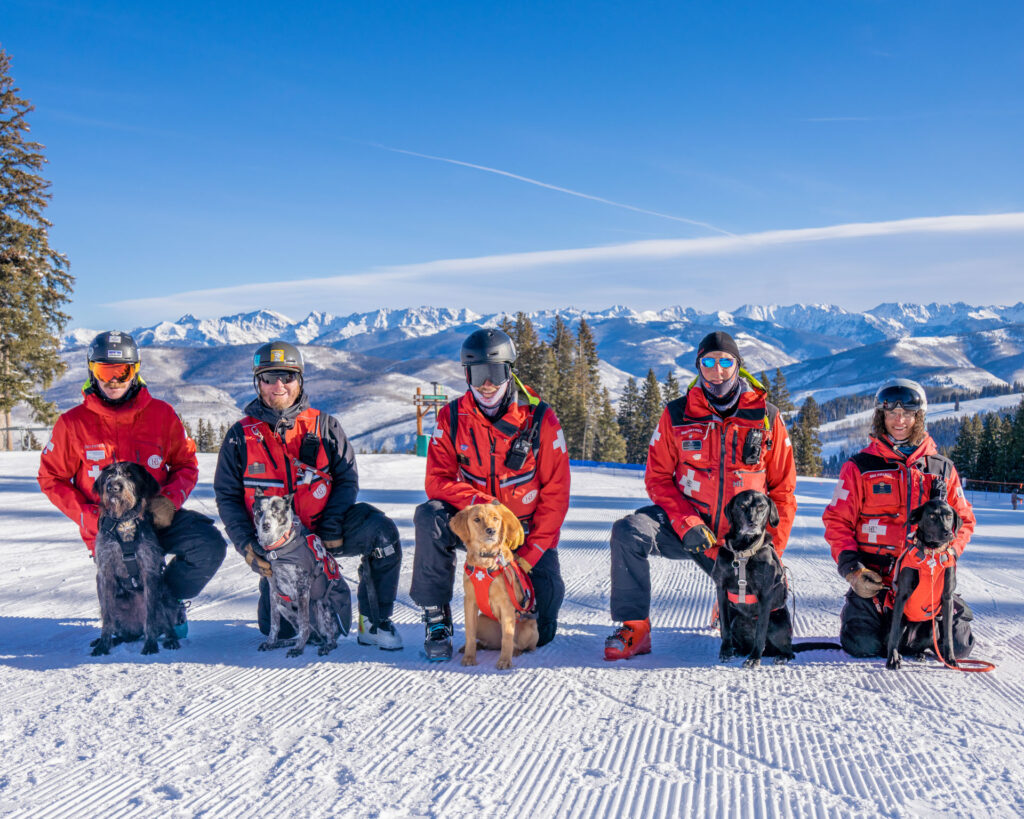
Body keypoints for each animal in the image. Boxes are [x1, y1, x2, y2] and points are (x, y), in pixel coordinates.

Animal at [452, 501, 540, 667]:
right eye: (477, 519)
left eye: (495, 518)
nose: (491, 531)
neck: (485, 559)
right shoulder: (470, 602)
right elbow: (469, 633)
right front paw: (469, 657)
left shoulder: (507, 605)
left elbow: (507, 638)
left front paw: (505, 661)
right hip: (482, 621)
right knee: (487, 642)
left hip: (528, 628)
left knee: (518, 643)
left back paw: (516, 651)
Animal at [712, 489, 839, 667]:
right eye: (742, 505)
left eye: (761, 506)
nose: (752, 523)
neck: (744, 551)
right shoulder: (721, 589)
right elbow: (724, 626)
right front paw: (726, 651)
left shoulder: (765, 595)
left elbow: (760, 631)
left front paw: (754, 658)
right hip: (736, 617)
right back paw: (739, 651)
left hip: (778, 624)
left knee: (789, 651)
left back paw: (780, 656)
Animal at [888, 495, 958, 667]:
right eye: (932, 516)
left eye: (949, 516)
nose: (948, 533)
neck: (932, 553)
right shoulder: (902, 595)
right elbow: (893, 634)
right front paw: (892, 658)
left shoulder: (947, 597)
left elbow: (948, 634)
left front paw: (950, 659)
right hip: (903, 623)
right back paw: (898, 655)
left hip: (932, 628)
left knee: (917, 647)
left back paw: (919, 654)